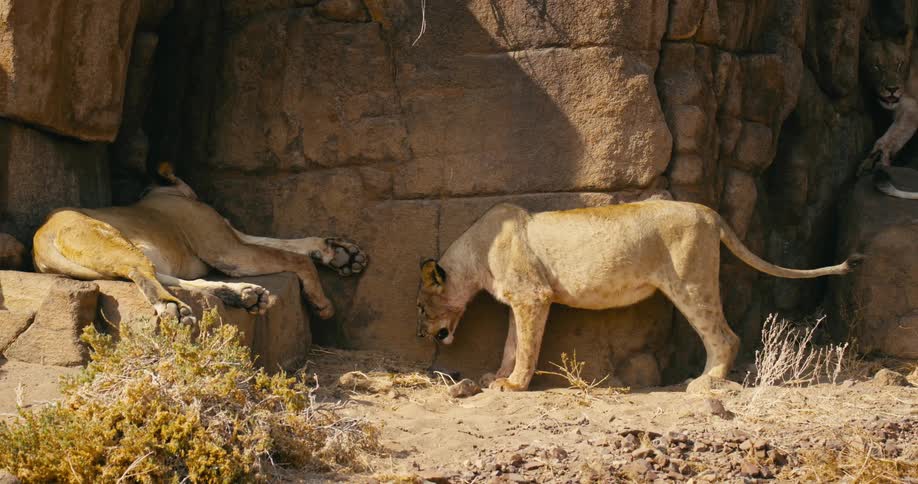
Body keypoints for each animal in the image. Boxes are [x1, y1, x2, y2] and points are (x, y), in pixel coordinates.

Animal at [32, 163, 367, 324]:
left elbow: (288, 243)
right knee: (144, 274)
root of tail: (41, 235)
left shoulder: (234, 238)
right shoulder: (228, 250)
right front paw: (322, 302)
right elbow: (296, 258)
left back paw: (245, 296)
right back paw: (175, 309)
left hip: (130, 252)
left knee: (171, 278)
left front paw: (342, 254)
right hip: (114, 243)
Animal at [415, 201, 860, 393]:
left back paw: (705, 381)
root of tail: (709, 211)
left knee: (724, 336)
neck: (479, 254)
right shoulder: (520, 302)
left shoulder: (533, 297)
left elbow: (526, 346)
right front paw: (497, 376)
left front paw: (514, 385)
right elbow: (511, 343)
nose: (422, 334)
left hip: (690, 282)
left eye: (421, 307)